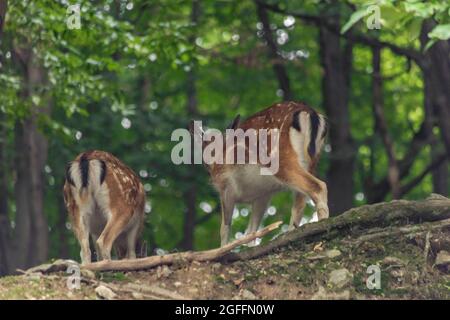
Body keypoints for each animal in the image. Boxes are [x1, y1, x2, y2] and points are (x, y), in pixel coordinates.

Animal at [188, 101, 328, 246]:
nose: (211, 167)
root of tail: (309, 112)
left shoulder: (225, 186)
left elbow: (225, 227)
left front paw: (223, 248)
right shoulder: (263, 195)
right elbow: (252, 231)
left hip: (277, 158)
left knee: (318, 186)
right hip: (312, 161)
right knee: (300, 203)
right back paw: (292, 232)